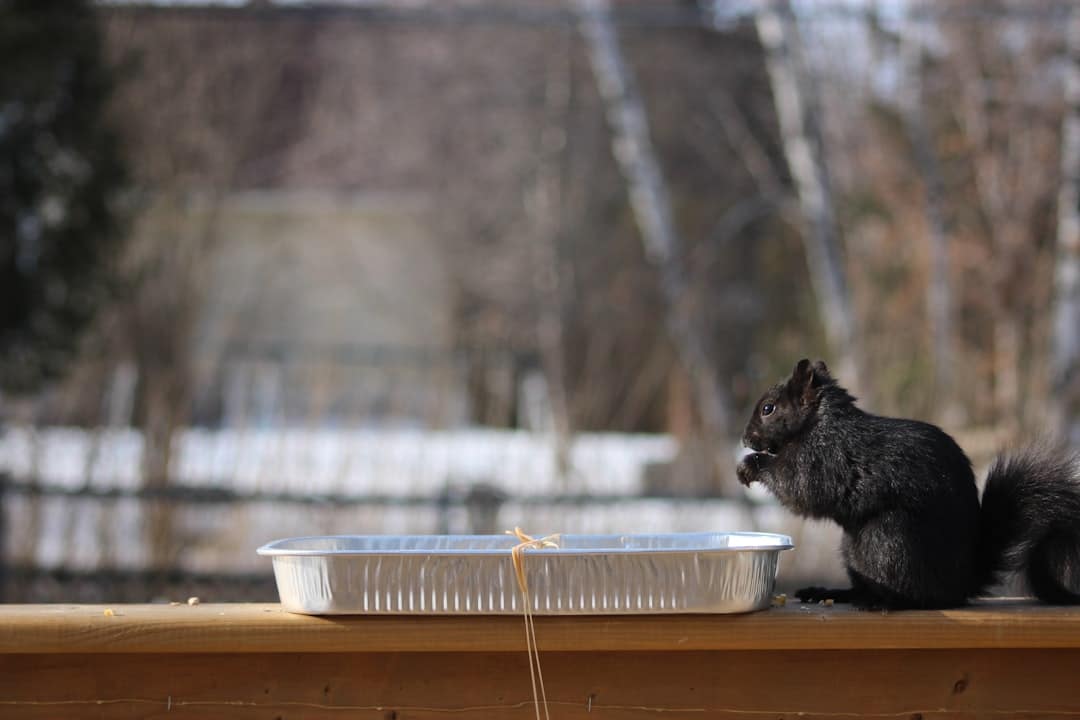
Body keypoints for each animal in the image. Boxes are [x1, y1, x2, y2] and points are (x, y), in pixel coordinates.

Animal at [738, 358, 1080, 608]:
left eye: (768, 408)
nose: (745, 439)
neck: (819, 425)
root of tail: (961, 584)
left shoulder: (825, 458)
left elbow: (801, 488)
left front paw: (752, 465)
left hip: (889, 539)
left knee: (917, 596)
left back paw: (884, 602)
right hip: (854, 550)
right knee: (863, 585)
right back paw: (832, 593)